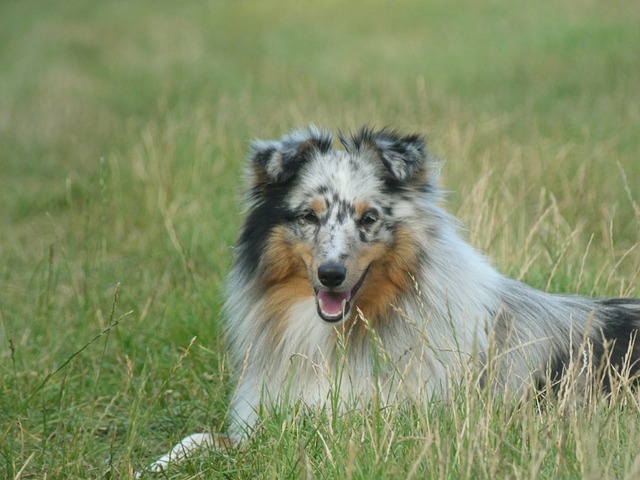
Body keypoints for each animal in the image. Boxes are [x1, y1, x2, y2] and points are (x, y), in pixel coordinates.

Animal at [144, 125, 640, 474]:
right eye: (309, 217)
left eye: (369, 218)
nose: (331, 275)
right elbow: (199, 439)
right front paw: (158, 463)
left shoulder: (365, 428)